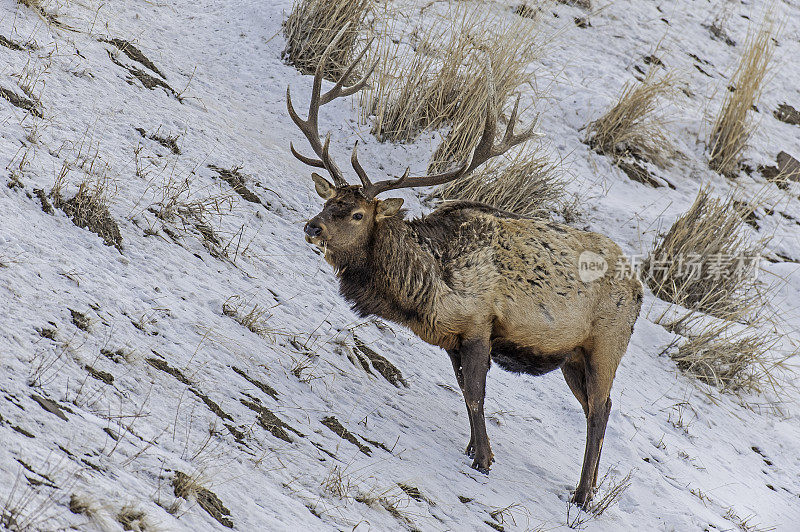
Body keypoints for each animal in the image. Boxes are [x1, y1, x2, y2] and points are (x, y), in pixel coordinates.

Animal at [288, 30, 644, 508]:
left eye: (358, 214)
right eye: (330, 202)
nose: (314, 226)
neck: (425, 291)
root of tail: (640, 286)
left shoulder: (479, 325)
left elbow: (476, 395)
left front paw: (484, 460)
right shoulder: (452, 340)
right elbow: (463, 391)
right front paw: (473, 449)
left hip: (605, 345)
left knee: (601, 411)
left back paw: (583, 494)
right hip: (571, 356)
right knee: (592, 407)